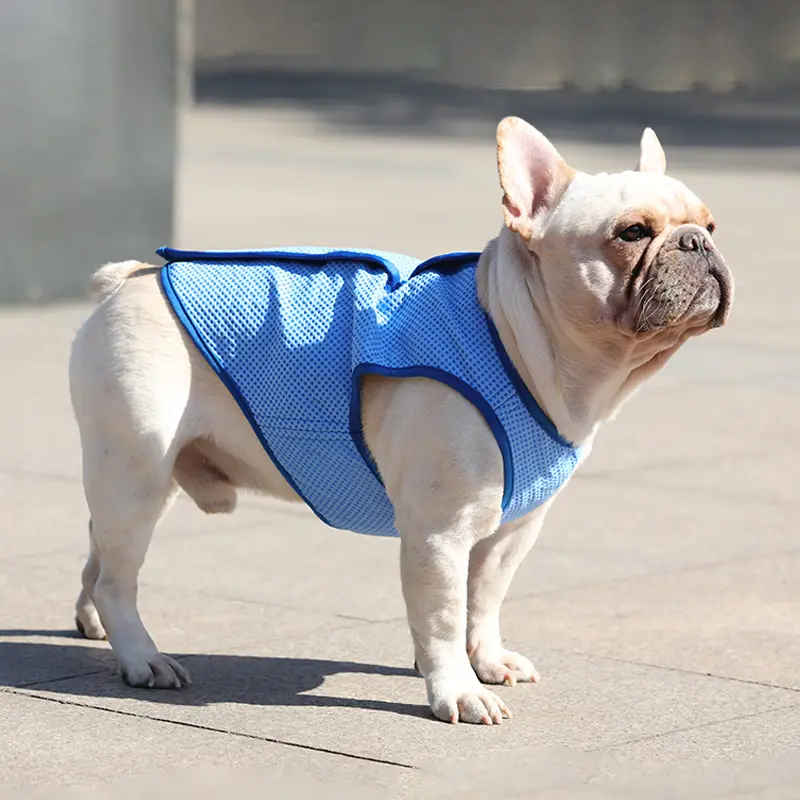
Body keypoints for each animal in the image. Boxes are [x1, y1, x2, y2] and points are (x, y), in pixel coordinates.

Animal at [67, 119, 732, 724]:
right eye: (632, 232)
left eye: (709, 224)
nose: (697, 243)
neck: (514, 338)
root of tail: (123, 281)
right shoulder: (440, 532)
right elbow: (441, 615)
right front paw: (457, 690)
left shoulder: (513, 531)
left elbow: (483, 599)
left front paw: (486, 660)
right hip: (138, 470)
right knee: (119, 575)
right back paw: (142, 658)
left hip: (137, 476)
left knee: (101, 550)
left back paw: (95, 623)